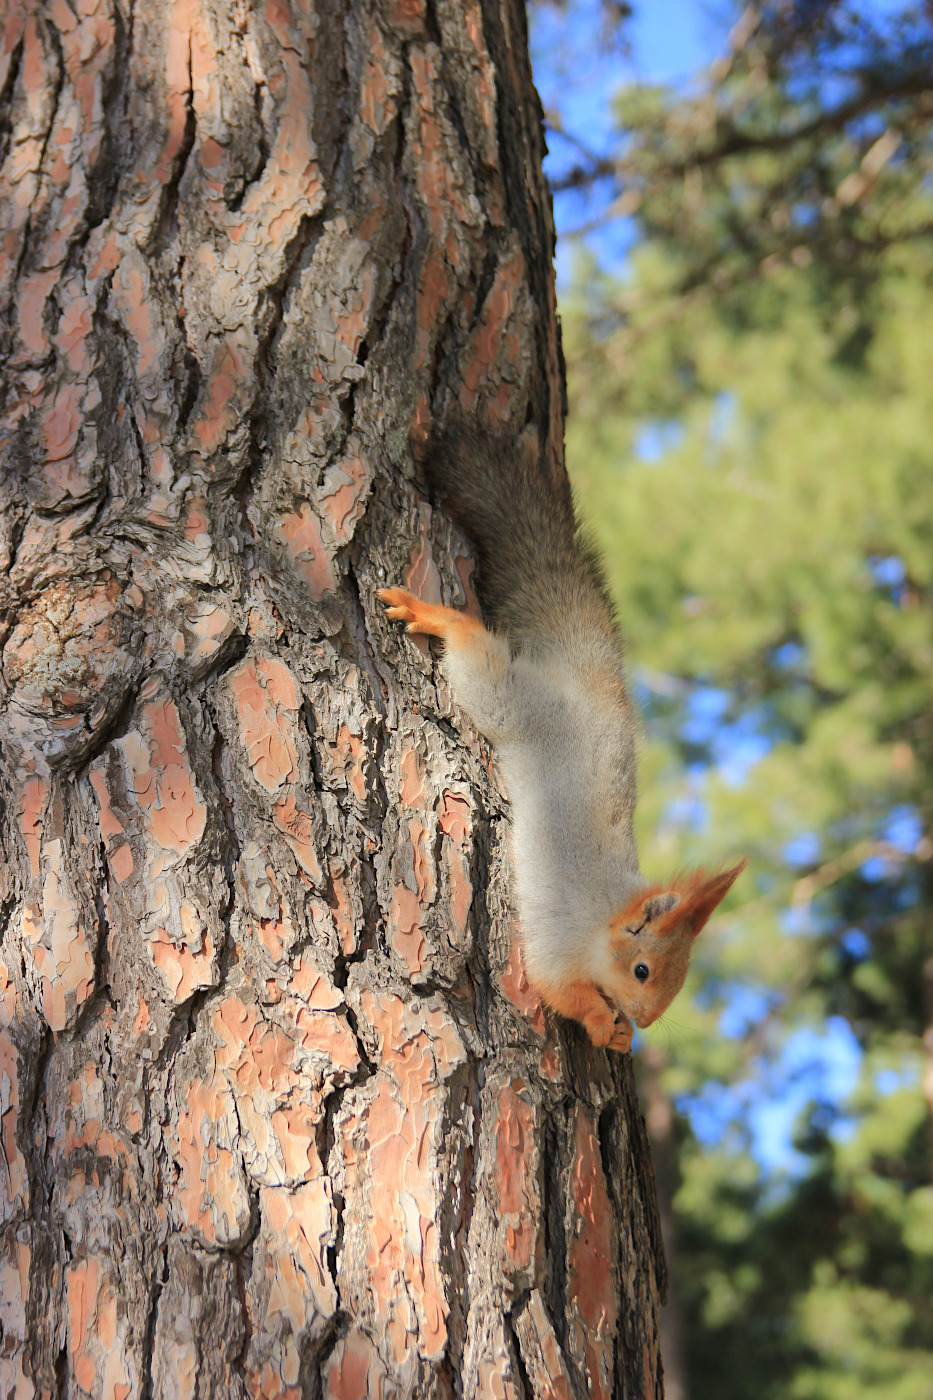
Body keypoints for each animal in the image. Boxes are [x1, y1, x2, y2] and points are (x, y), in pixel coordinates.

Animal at [378, 425, 739, 1052]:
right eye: (641, 970)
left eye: (680, 979)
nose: (645, 1020)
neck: (604, 916)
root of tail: (587, 681)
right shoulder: (559, 937)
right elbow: (558, 988)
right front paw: (601, 1022)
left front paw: (621, 1035)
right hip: (511, 701)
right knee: (475, 652)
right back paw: (434, 615)